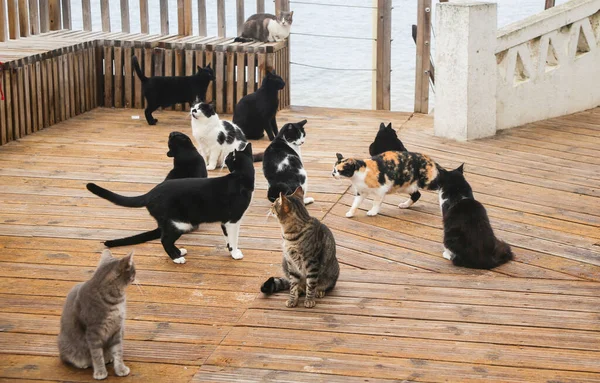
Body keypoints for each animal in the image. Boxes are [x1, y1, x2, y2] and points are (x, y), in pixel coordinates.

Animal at [57, 249, 135, 380]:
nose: (135, 276)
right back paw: (83, 363)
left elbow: (118, 351)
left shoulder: (117, 328)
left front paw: (120, 369)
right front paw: (100, 372)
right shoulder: (93, 331)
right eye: (133, 269)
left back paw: (108, 357)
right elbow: (97, 354)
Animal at [85, 143, 254, 264]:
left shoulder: (226, 221)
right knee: (164, 240)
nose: (225, 156)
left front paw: (232, 251)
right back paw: (177, 258)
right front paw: (235, 253)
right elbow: (233, 238)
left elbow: (228, 239)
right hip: (181, 223)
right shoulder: (233, 220)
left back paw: (179, 252)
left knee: (166, 237)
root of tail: (151, 193)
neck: (240, 177)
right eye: (229, 156)